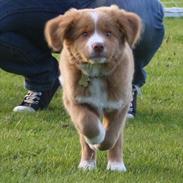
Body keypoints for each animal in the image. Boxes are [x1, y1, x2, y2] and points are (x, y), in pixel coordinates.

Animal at [44, 5, 142, 172]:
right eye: (84, 34)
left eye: (109, 33)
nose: (98, 46)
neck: (97, 73)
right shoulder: (76, 100)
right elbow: (87, 124)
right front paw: (95, 139)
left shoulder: (120, 103)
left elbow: (112, 135)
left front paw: (104, 146)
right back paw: (87, 164)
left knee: (118, 138)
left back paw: (116, 165)